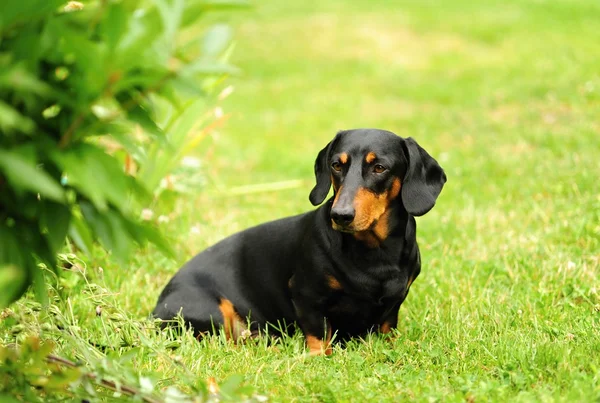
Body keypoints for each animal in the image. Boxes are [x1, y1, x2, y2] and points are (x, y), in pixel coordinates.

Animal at [154, 129, 446, 356]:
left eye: (379, 167)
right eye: (336, 165)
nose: (340, 216)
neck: (375, 253)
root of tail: (156, 310)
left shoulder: (393, 305)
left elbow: (387, 328)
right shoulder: (305, 295)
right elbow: (318, 333)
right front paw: (320, 357)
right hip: (208, 312)